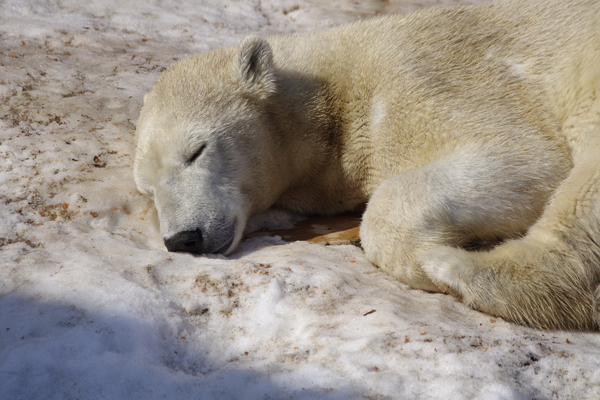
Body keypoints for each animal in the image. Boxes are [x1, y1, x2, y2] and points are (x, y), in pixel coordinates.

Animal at [135, 0, 600, 330]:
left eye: (196, 150)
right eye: (147, 188)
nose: (183, 239)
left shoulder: (432, 76)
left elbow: (526, 157)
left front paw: (424, 254)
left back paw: (453, 266)